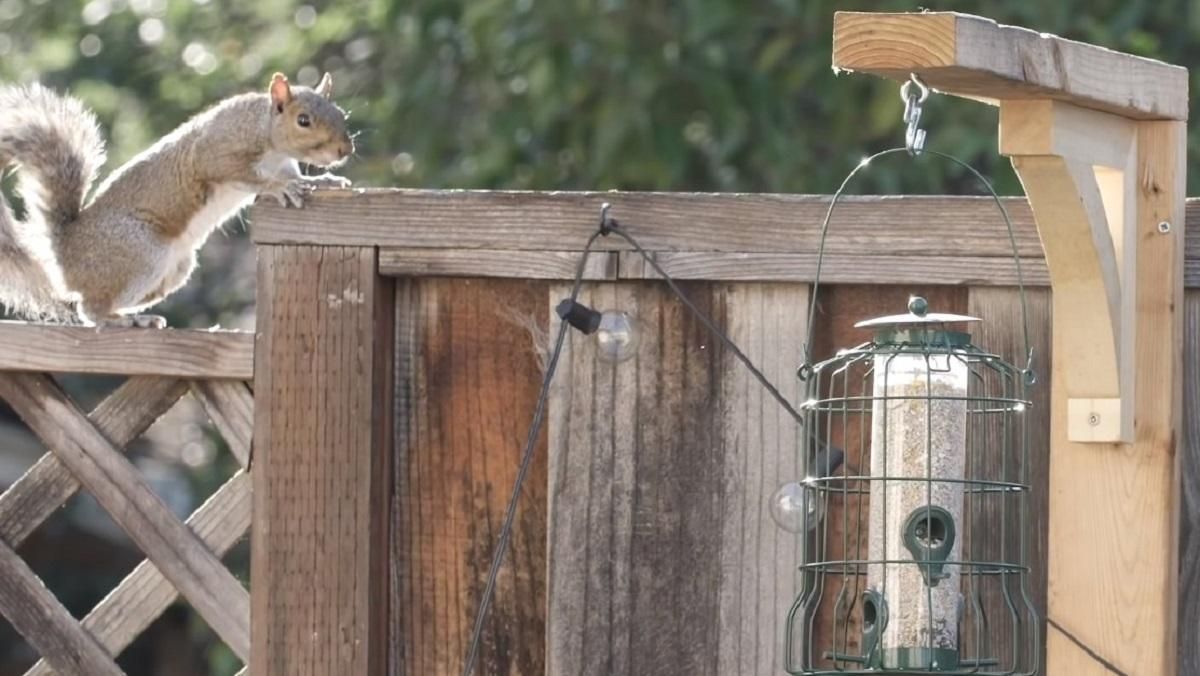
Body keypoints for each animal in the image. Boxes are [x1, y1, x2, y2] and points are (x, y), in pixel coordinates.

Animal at [1, 71, 350, 328]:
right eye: (303, 120)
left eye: (341, 114)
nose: (344, 151)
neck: (265, 131)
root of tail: (63, 250)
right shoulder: (216, 152)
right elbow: (244, 175)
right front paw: (280, 188)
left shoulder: (284, 163)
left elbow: (297, 176)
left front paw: (322, 180)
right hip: (140, 252)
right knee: (89, 308)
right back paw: (121, 321)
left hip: (174, 271)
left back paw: (134, 316)